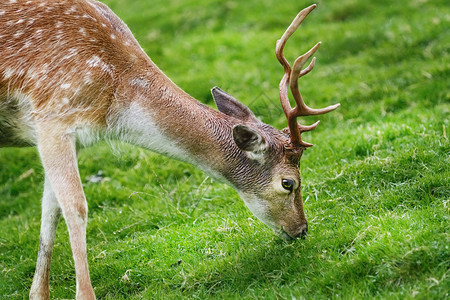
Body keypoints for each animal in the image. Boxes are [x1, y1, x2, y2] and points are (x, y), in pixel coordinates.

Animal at [0, 1, 338, 298]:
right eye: (288, 183)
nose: (301, 229)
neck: (112, 104)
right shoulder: (53, 117)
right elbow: (76, 208)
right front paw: (85, 295)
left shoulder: (69, 138)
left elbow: (50, 212)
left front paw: (38, 294)